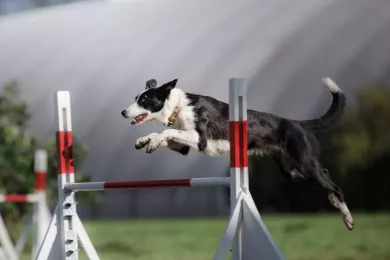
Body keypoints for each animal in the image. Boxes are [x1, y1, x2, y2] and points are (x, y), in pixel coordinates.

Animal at [121, 76, 354, 230]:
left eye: (144, 100)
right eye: (135, 98)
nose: (123, 112)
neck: (178, 106)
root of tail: (298, 123)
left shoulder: (200, 139)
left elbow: (167, 131)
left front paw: (151, 142)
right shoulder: (183, 146)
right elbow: (162, 133)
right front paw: (145, 140)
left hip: (303, 163)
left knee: (334, 185)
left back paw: (348, 219)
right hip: (292, 171)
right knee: (325, 175)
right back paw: (335, 203)